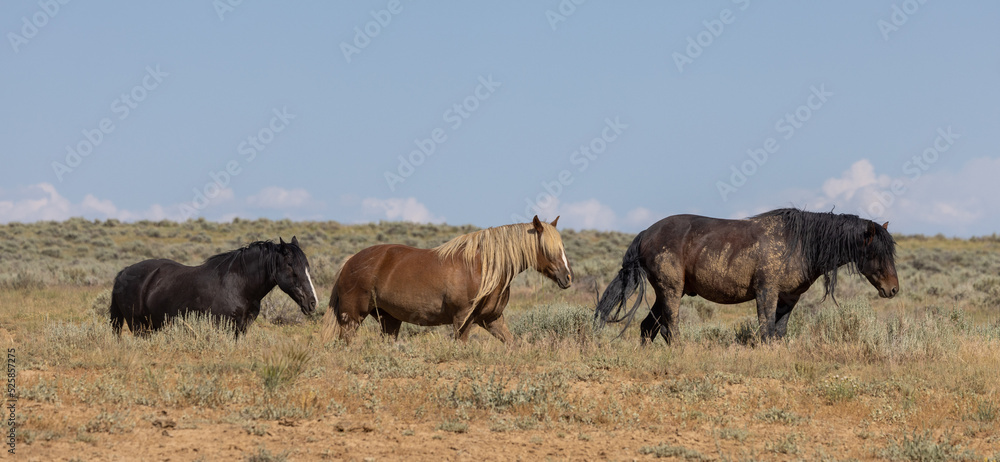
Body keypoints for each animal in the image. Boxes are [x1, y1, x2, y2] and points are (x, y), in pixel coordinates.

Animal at [109, 237, 318, 338]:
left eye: (307, 267)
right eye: (291, 266)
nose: (312, 302)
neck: (239, 285)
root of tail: (122, 273)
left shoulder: (241, 328)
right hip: (138, 325)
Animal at [325, 216, 572, 343]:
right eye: (547, 249)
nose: (567, 277)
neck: (482, 267)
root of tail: (350, 261)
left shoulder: (493, 320)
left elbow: (512, 344)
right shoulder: (462, 319)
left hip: (389, 320)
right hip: (352, 318)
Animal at [594, 208, 899, 344]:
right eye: (877, 252)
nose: (893, 289)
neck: (798, 243)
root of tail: (647, 233)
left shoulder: (788, 299)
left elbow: (778, 332)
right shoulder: (766, 293)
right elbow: (765, 330)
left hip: (665, 292)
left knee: (649, 327)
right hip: (670, 290)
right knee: (670, 326)